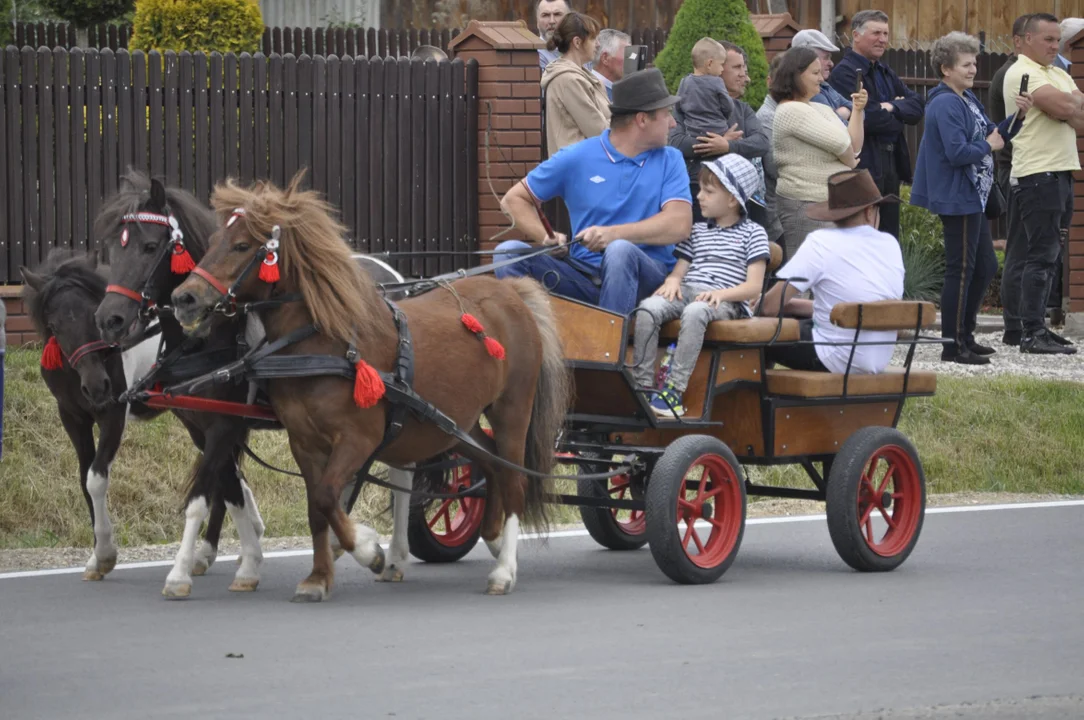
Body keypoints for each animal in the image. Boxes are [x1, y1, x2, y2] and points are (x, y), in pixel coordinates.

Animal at [21, 250, 162, 581]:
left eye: (92, 316)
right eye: (54, 325)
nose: (97, 387)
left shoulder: (112, 415)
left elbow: (96, 479)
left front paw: (106, 554)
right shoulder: (73, 418)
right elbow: (84, 479)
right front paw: (95, 559)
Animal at [169, 175, 572, 602]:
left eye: (243, 245)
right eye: (213, 241)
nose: (184, 298)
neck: (321, 342)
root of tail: (512, 293)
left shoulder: (358, 438)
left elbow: (329, 495)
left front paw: (367, 548)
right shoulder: (304, 443)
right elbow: (317, 506)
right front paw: (318, 577)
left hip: (512, 409)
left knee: (514, 479)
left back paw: (504, 569)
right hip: (450, 422)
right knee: (492, 463)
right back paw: (492, 537)